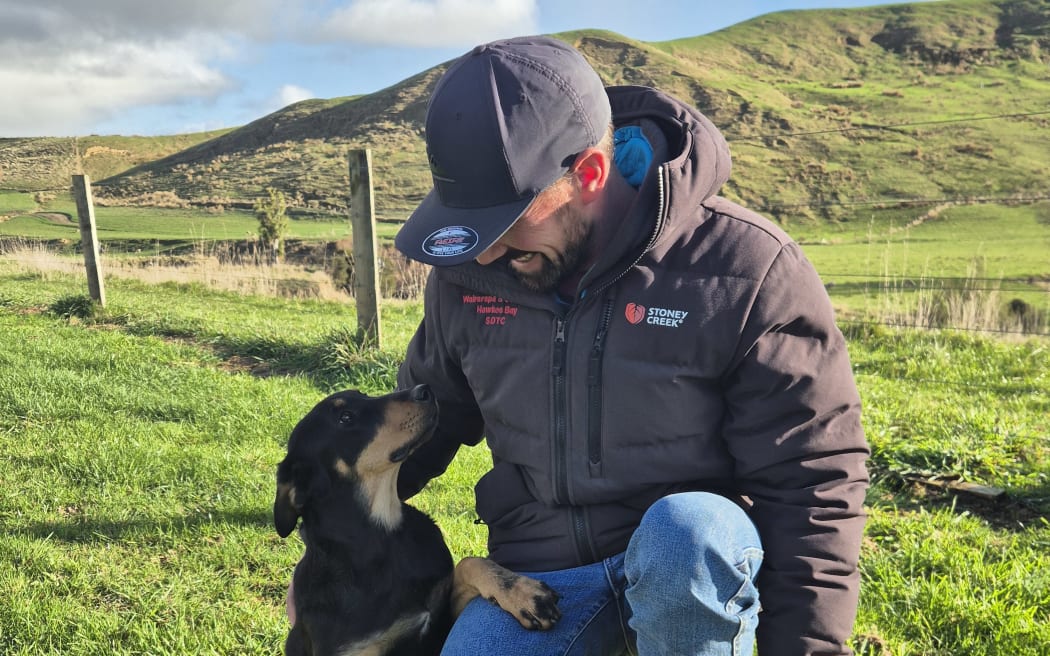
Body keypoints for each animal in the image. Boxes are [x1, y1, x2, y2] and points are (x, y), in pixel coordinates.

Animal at [275, 384, 562, 654]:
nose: (425, 390)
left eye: (364, 395)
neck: (382, 536)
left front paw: (523, 592)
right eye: (345, 418)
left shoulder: (441, 622)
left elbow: (468, 563)